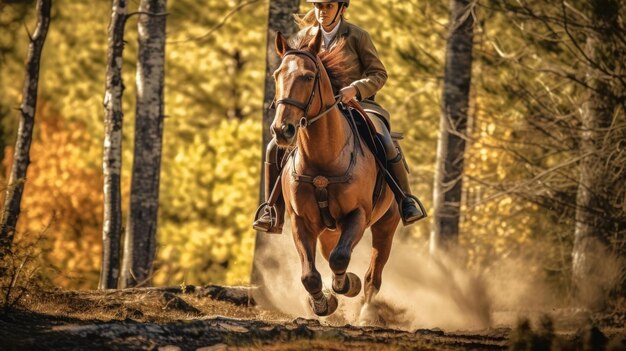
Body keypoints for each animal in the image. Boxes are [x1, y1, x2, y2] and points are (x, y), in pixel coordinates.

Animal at [270, 31, 400, 324]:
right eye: (276, 75)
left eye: (308, 77)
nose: (282, 130)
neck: (323, 160)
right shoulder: (301, 221)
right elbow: (310, 275)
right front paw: (322, 303)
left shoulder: (358, 215)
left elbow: (340, 258)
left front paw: (346, 284)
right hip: (329, 230)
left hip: (386, 224)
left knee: (373, 275)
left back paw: (365, 313)